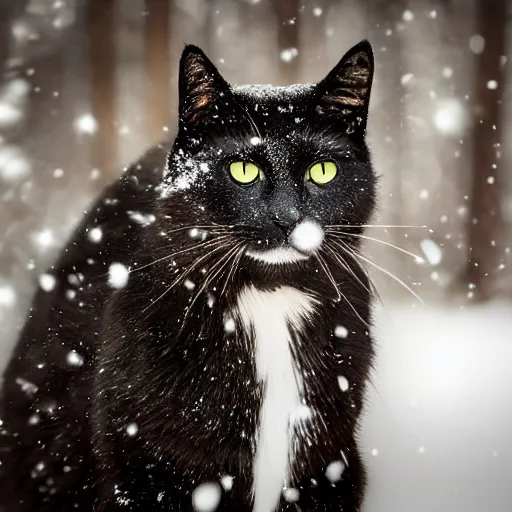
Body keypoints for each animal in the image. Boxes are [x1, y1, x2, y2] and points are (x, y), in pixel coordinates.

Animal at [0, 41, 376, 512]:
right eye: (243, 170)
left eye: (322, 171)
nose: (287, 217)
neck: (268, 297)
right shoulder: (145, 469)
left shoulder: (330, 466)